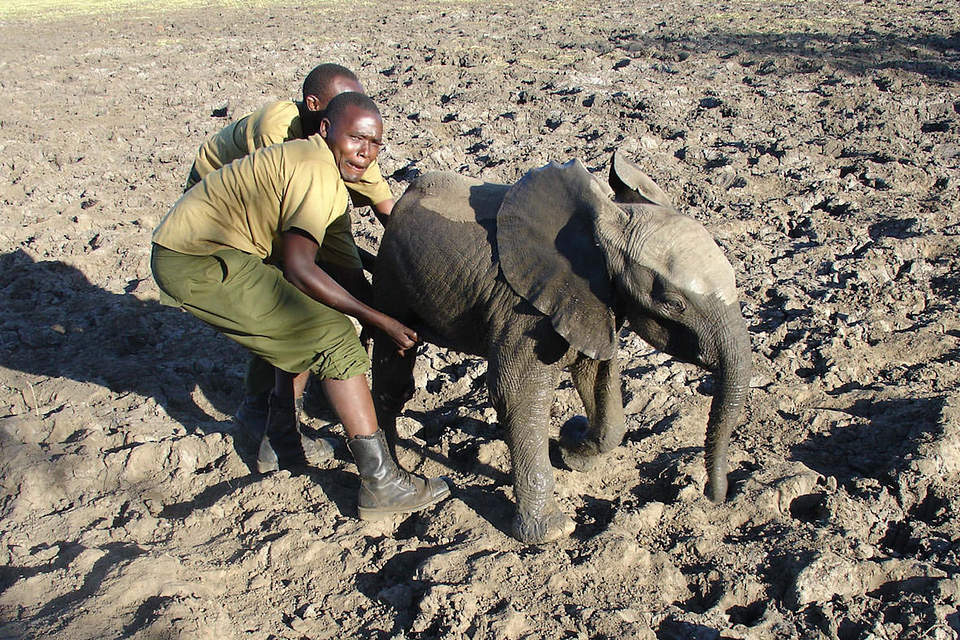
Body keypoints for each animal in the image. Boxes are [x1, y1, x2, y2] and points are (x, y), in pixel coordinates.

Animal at [370, 151, 751, 544]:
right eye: (675, 303)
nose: (714, 496)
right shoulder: (522, 306)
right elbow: (517, 394)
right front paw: (552, 531)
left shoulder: (594, 301)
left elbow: (595, 375)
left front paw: (574, 448)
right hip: (390, 280)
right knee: (392, 372)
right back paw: (398, 469)